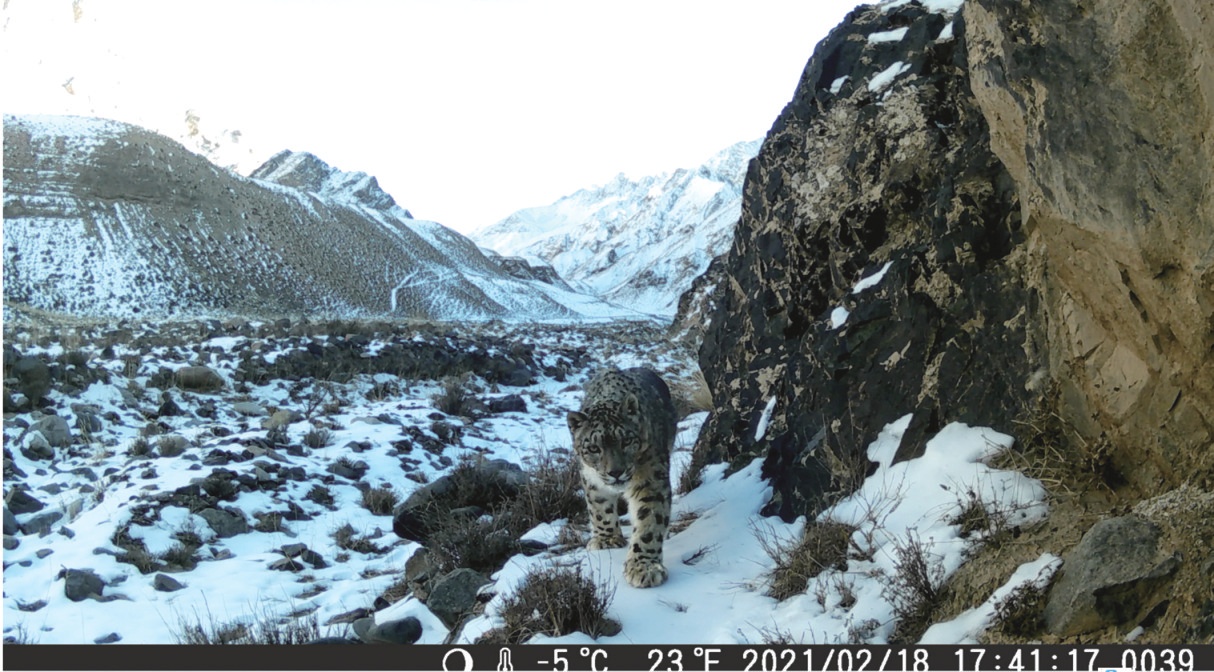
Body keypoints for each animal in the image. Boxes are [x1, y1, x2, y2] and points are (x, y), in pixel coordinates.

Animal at [565, 366, 679, 587]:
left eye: (626, 441)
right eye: (594, 448)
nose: (615, 472)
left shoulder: (651, 479)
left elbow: (650, 520)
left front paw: (643, 567)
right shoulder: (591, 479)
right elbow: (599, 508)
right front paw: (606, 540)